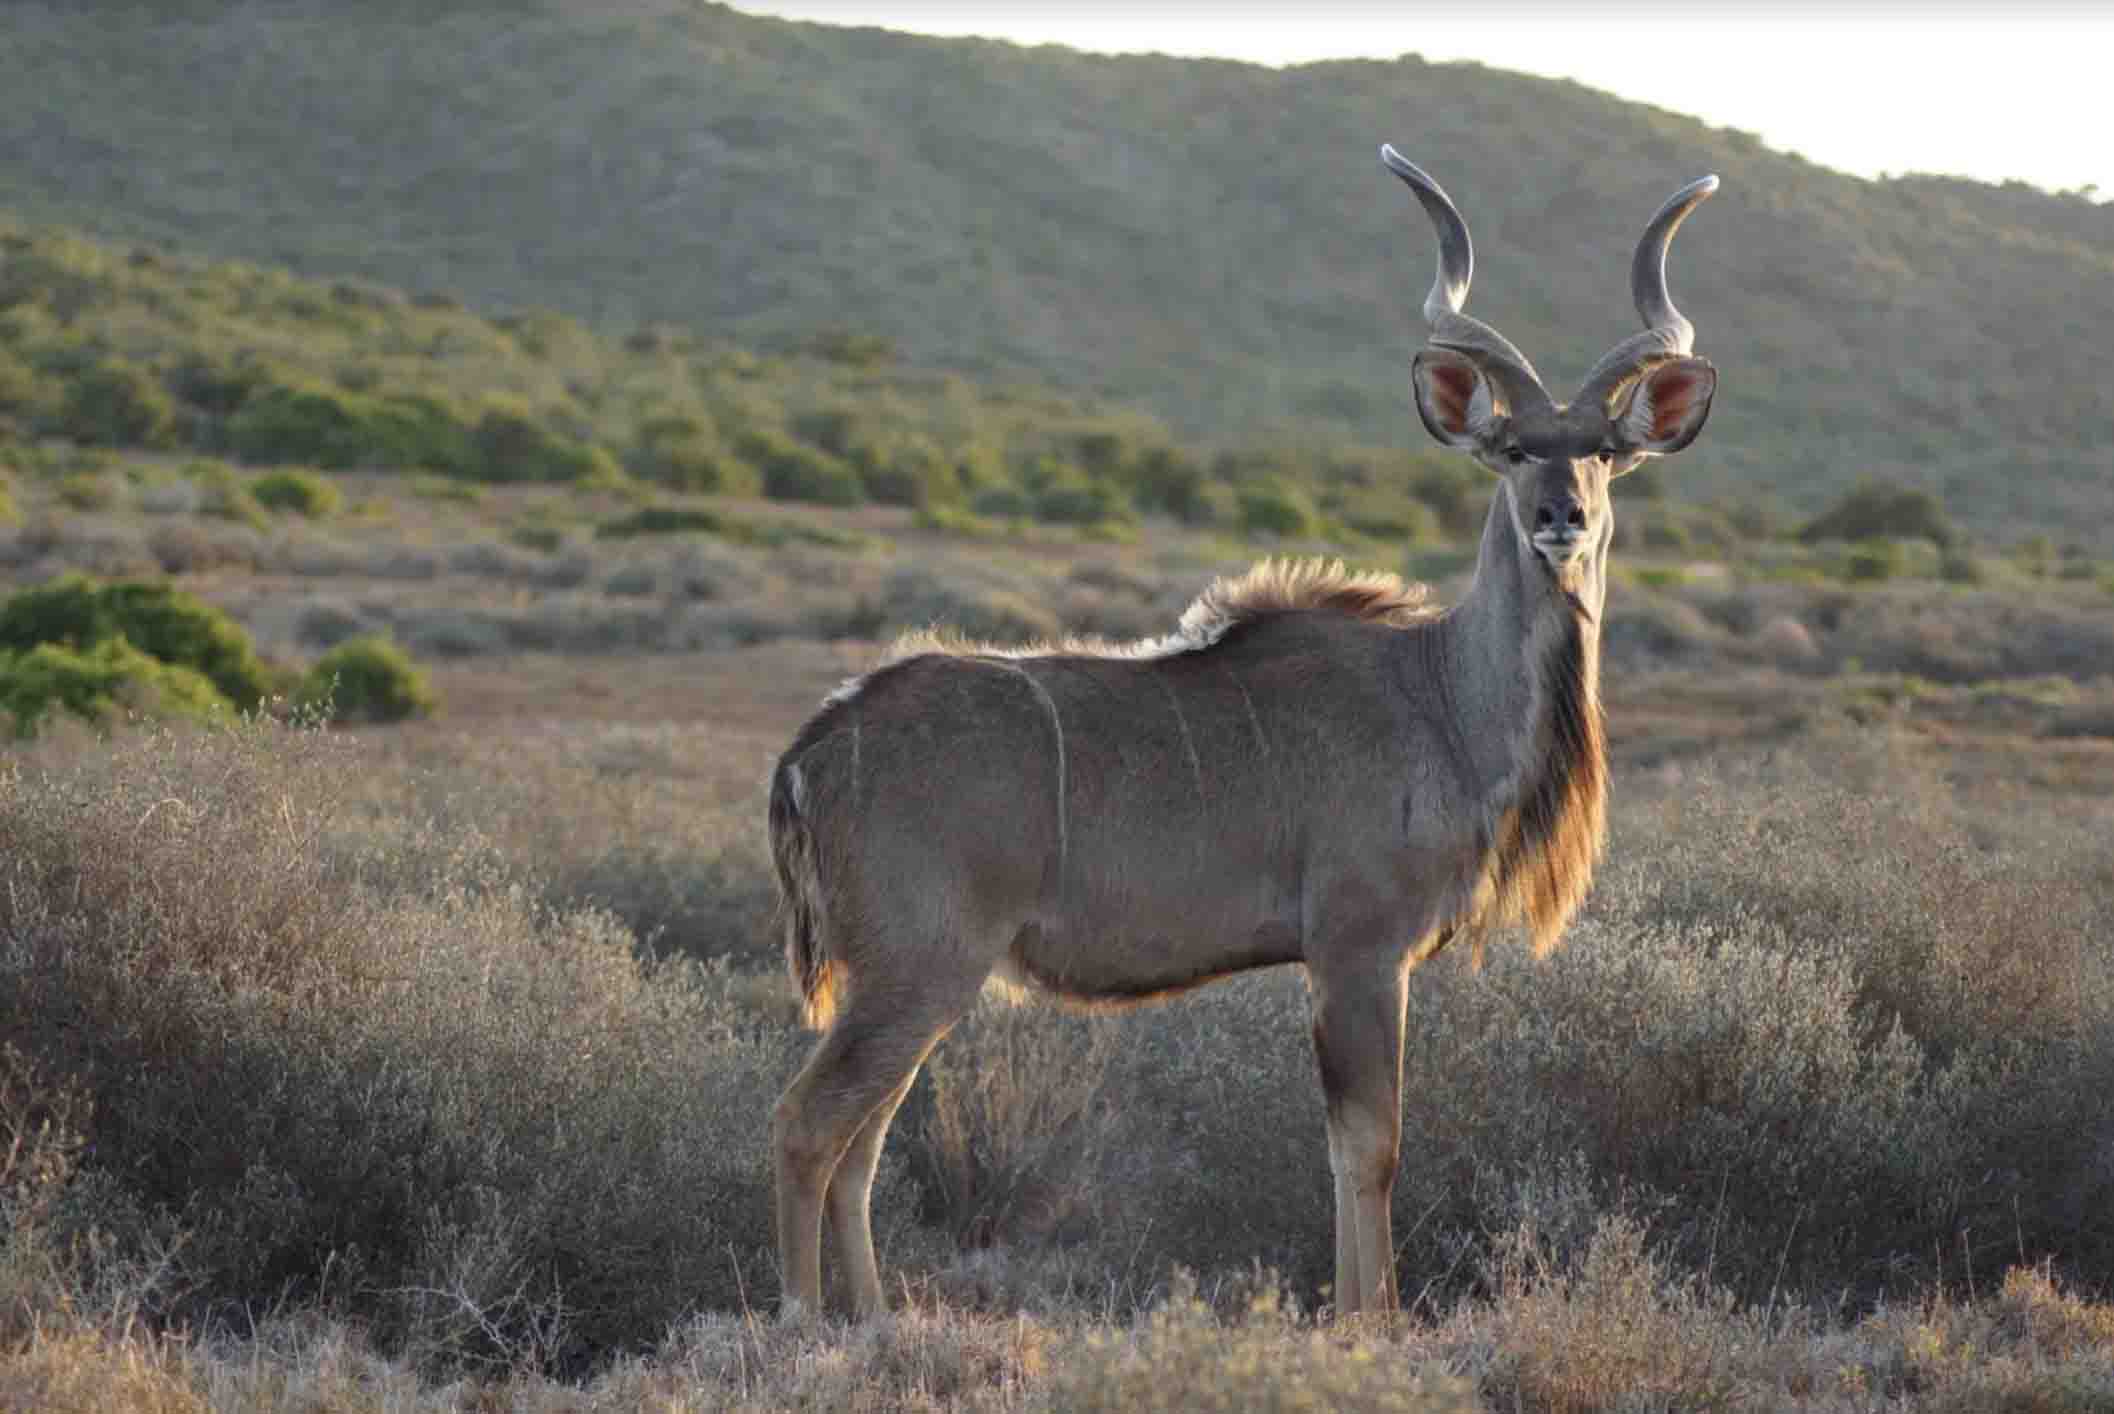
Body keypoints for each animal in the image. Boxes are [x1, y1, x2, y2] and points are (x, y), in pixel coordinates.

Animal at [773, 143, 1716, 1310]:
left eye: (1602, 452)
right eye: (1506, 447)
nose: (1561, 519)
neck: (1441, 696)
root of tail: (812, 747)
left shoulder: (1349, 961)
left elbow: (1345, 1146)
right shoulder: (1360, 949)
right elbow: (1369, 1147)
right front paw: (1372, 1320)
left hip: (901, 984)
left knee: (860, 1141)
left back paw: (874, 1319)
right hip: (918, 970)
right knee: (808, 1128)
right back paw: (799, 1321)